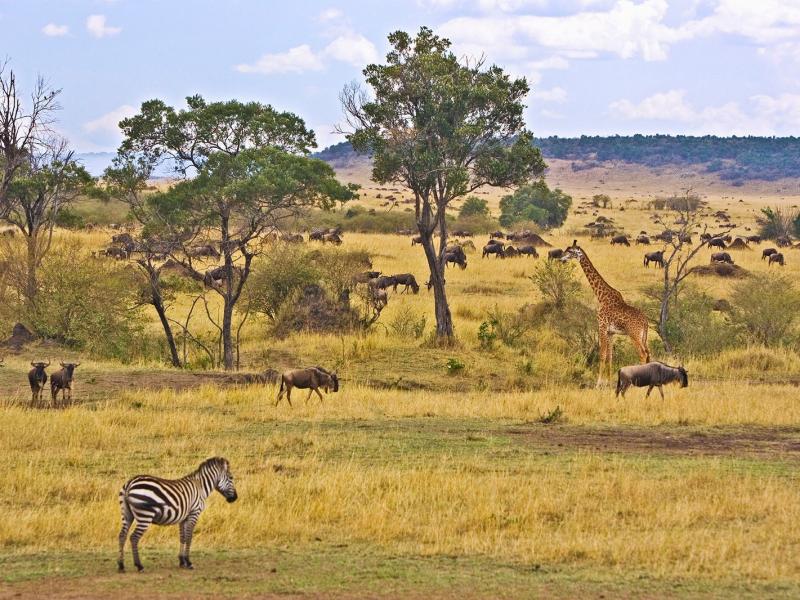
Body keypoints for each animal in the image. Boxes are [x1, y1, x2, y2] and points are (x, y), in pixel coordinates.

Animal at [564, 239, 648, 384]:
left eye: (570, 251)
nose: (561, 258)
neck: (601, 296)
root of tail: (645, 322)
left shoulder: (602, 326)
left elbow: (602, 355)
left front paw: (598, 383)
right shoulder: (611, 332)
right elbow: (610, 356)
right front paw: (609, 381)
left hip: (634, 335)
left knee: (642, 354)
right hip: (643, 336)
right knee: (648, 353)